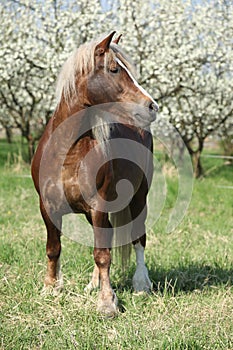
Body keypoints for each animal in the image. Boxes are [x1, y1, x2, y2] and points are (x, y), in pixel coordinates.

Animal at [31, 32, 158, 318]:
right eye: (113, 69)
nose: (152, 107)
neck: (67, 152)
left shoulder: (99, 205)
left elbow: (102, 254)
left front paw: (107, 303)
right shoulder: (47, 208)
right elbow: (54, 249)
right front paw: (50, 289)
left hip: (139, 198)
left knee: (138, 238)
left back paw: (141, 284)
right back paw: (93, 284)